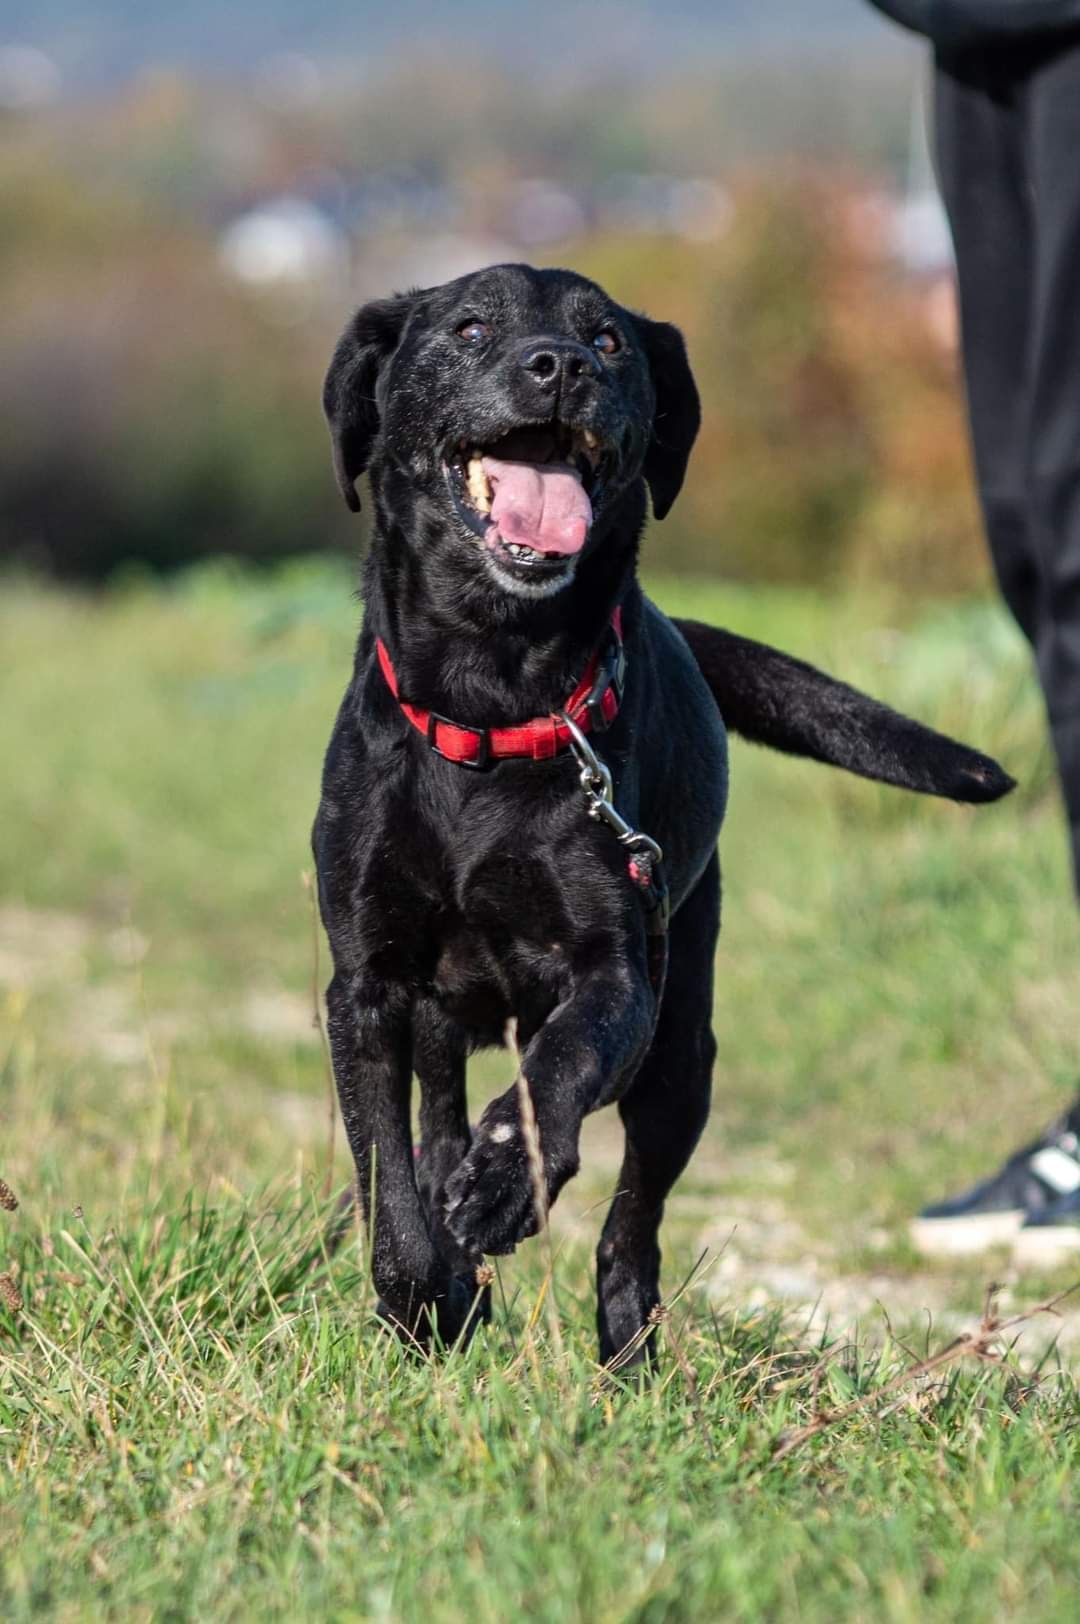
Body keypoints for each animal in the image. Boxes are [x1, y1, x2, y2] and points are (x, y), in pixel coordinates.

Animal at [313, 266, 1013, 1370]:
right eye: (469, 328)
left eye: (608, 341)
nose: (558, 365)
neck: (494, 696)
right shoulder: (367, 988)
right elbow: (386, 1172)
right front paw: (424, 1299)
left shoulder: (618, 975)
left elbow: (556, 1070)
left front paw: (508, 1180)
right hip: (446, 1022)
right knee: (436, 1122)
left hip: (683, 1052)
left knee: (631, 1223)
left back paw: (626, 1348)